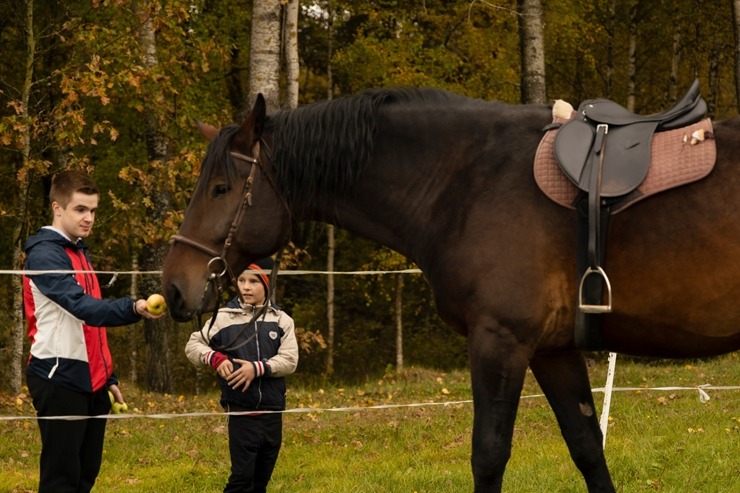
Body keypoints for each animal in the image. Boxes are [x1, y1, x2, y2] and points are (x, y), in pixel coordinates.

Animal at [162, 89, 740, 492]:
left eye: (221, 189)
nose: (172, 287)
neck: (467, 182)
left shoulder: (499, 341)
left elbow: (488, 456)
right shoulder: (552, 350)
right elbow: (586, 448)